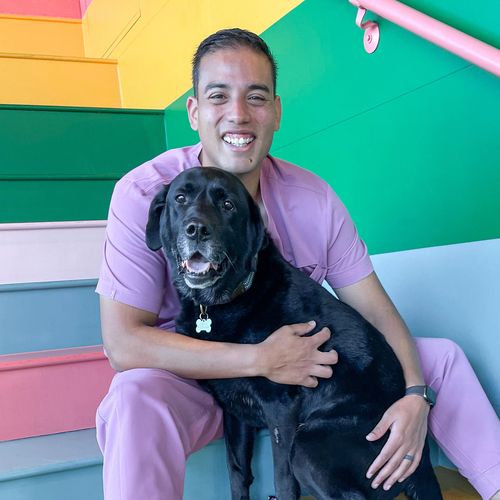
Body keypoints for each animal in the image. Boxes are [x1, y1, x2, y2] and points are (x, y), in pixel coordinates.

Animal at [146, 167, 442, 500]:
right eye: (180, 198)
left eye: (228, 205)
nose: (196, 229)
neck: (224, 300)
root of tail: (421, 459)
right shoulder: (235, 414)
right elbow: (237, 473)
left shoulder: (281, 409)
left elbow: (283, 479)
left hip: (308, 445)